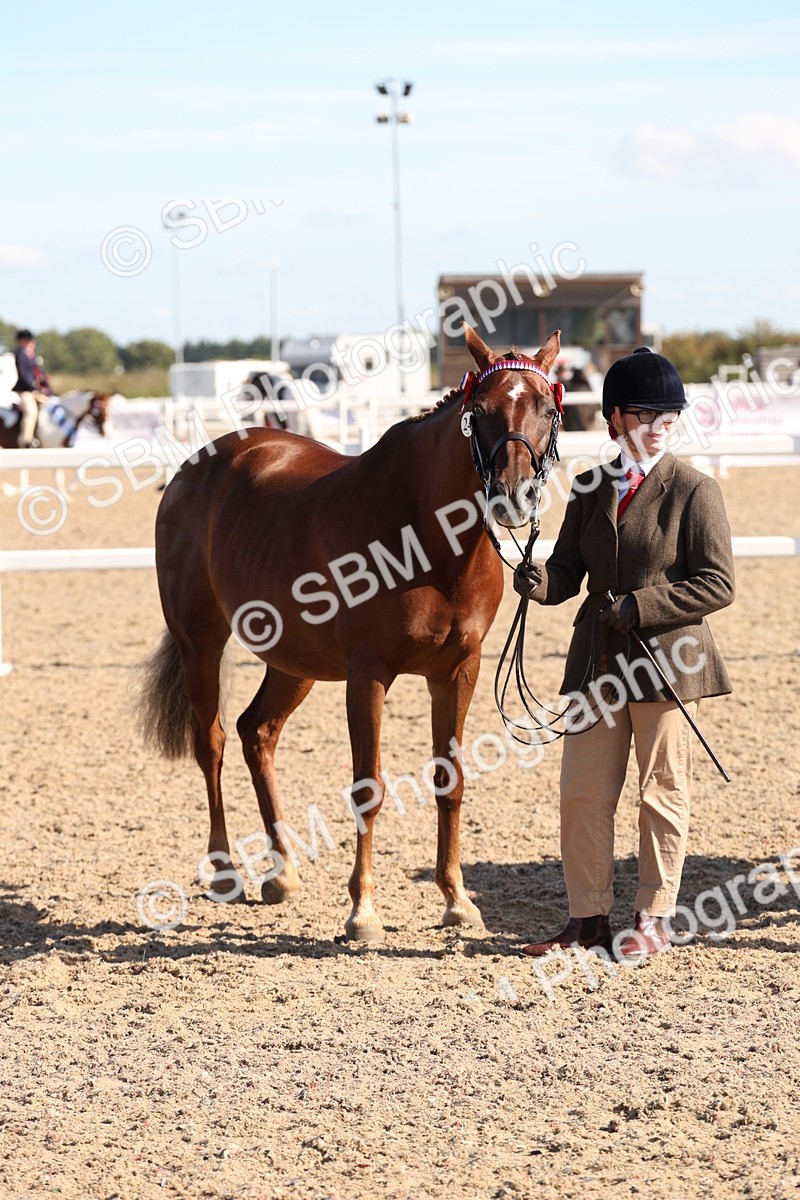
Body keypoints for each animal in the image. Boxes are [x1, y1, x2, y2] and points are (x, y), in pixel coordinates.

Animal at [139, 324, 562, 941]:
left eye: (548, 409)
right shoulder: (368, 675)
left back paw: (283, 873)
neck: (427, 540)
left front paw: (457, 900)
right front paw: (363, 911)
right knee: (211, 742)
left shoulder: (458, 671)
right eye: (479, 411)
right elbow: (369, 788)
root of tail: (194, 468)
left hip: (293, 661)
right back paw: (224, 871)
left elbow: (451, 782)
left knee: (256, 732)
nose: (514, 494)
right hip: (201, 643)